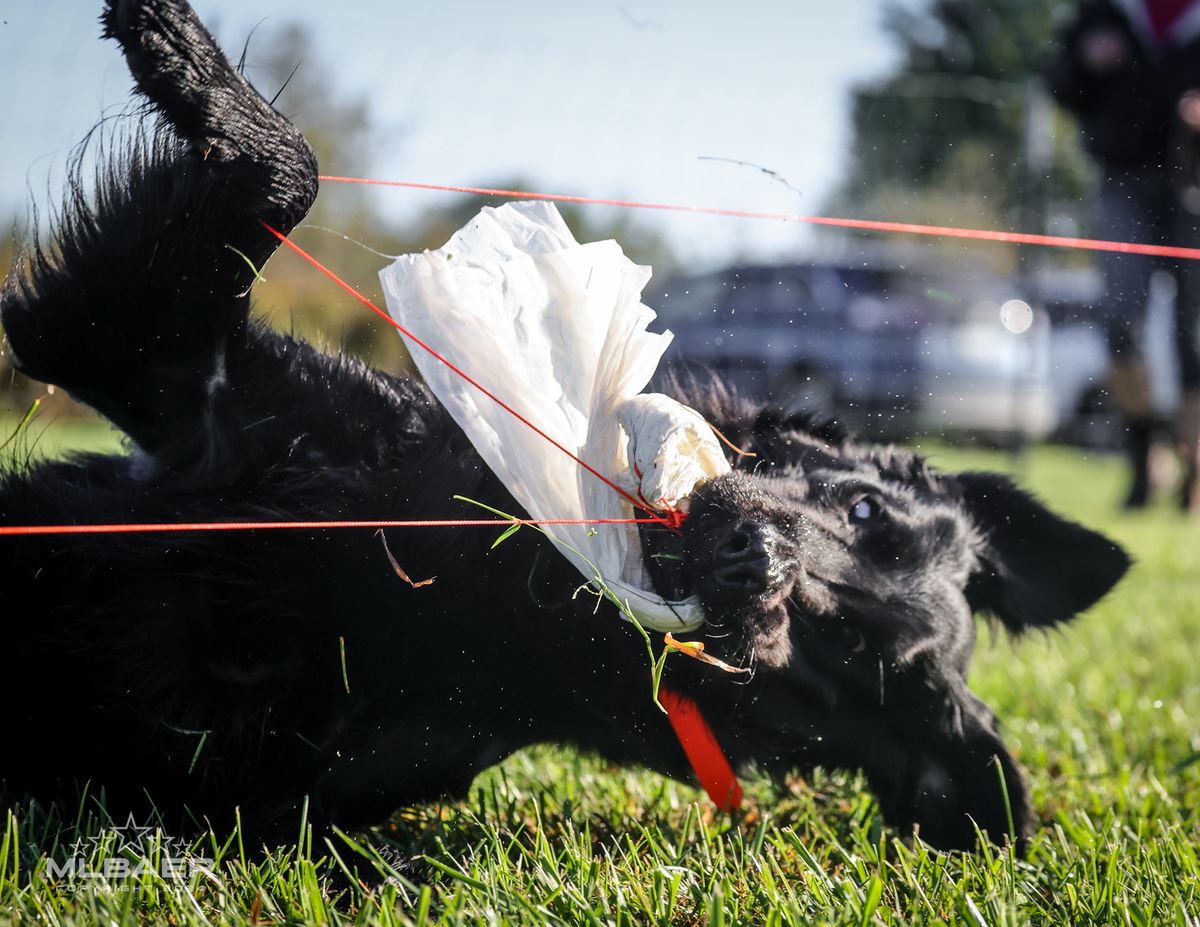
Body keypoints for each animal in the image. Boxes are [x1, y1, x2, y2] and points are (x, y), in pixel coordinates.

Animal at [0, 0, 1123, 854]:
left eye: (838, 652)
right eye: (858, 508)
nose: (757, 554)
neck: (506, 581)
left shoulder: (135, 345)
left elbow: (283, 169)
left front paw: (173, 44)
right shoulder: (196, 393)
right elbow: (290, 168)